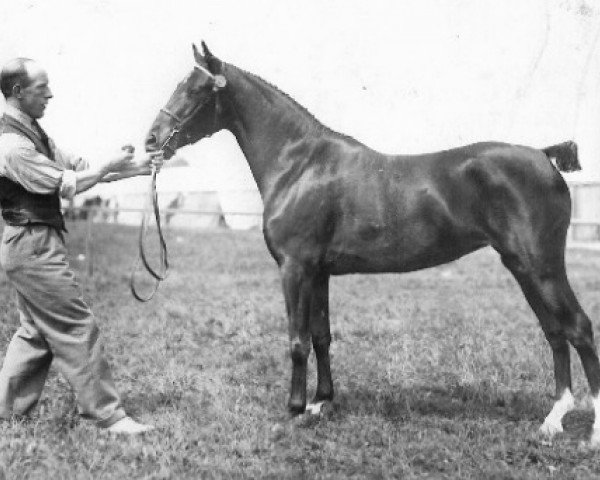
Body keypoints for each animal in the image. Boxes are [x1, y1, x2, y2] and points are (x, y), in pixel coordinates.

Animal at [145, 43, 600, 444]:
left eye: (195, 89)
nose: (151, 140)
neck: (300, 165)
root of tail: (543, 156)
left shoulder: (295, 269)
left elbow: (297, 340)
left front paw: (293, 410)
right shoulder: (319, 273)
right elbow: (321, 336)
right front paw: (321, 403)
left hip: (541, 266)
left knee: (578, 326)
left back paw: (592, 433)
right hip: (522, 266)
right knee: (554, 331)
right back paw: (553, 420)